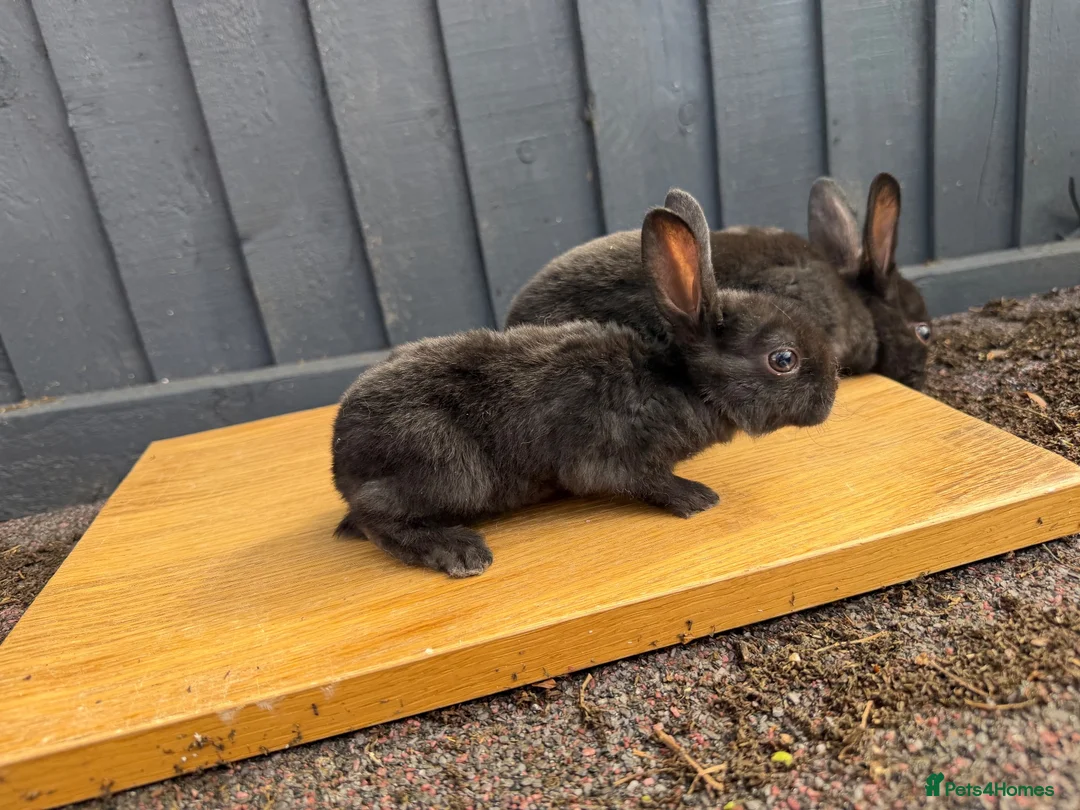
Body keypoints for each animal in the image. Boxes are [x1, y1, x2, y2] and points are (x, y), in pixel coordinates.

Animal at [331, 190, 838, 577]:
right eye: (784, 360)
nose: (831, 395)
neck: (682, 384)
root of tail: (341, 459)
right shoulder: (613, 456)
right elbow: (646, 481)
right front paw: (697, 498)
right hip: (447, 467)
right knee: (377, 518)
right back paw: (459, 550)